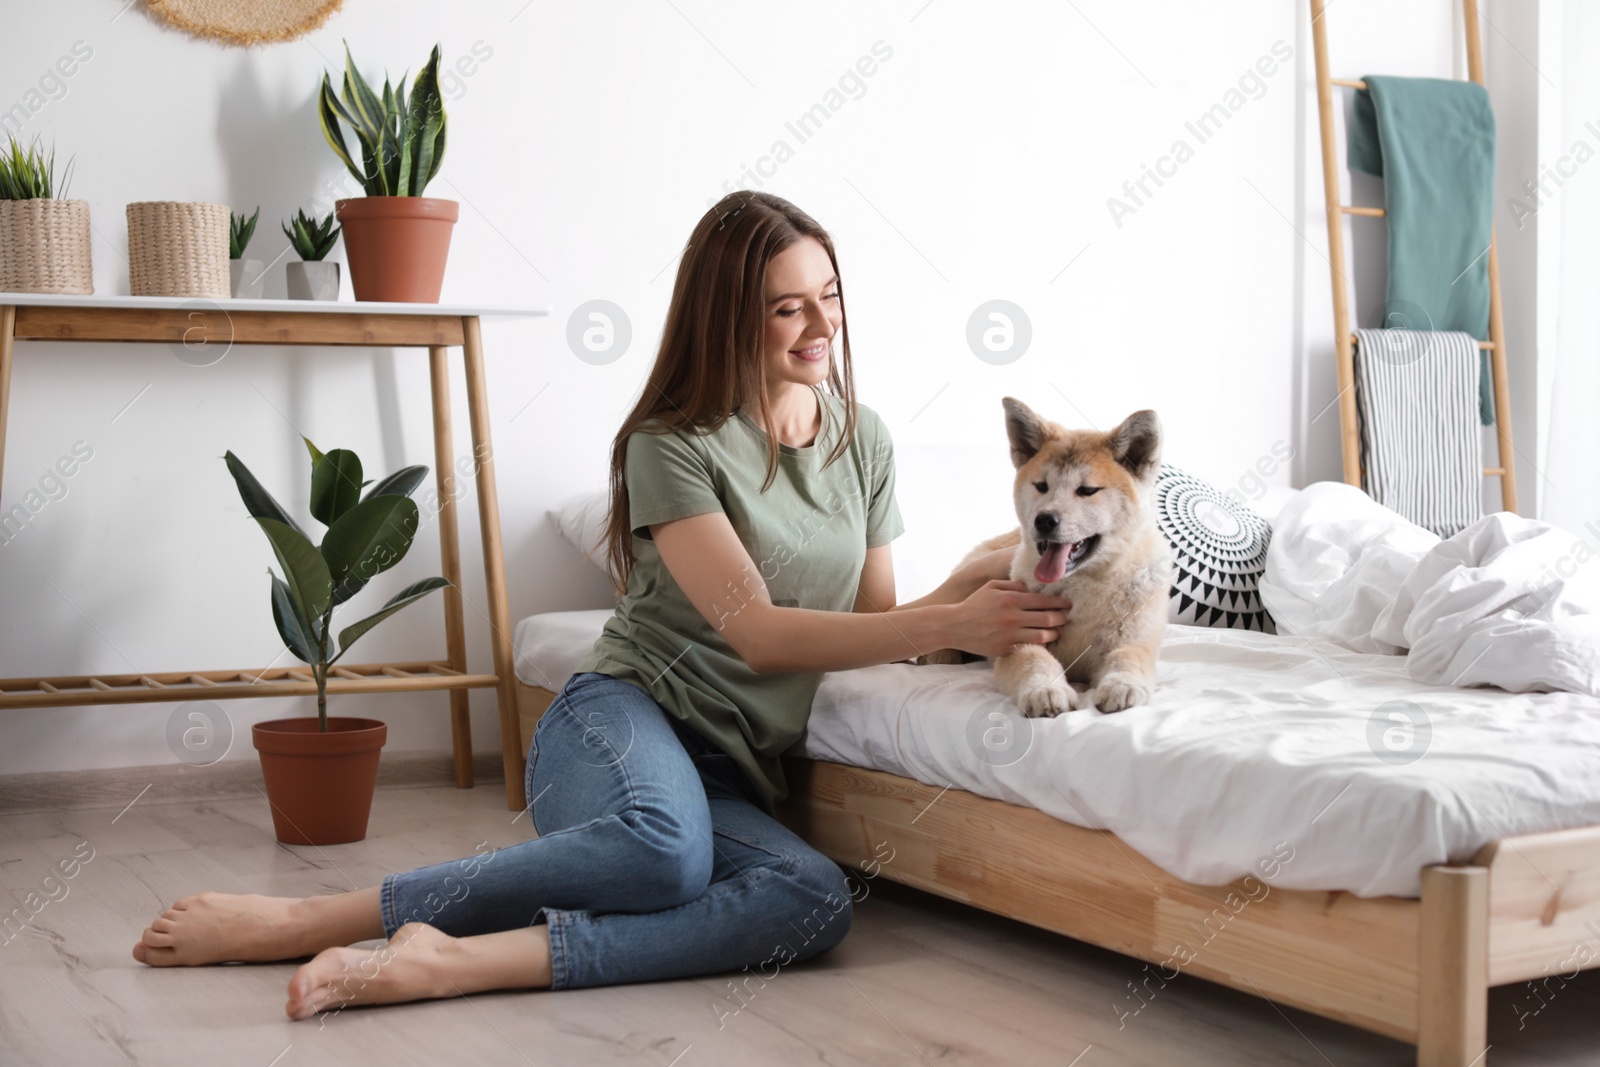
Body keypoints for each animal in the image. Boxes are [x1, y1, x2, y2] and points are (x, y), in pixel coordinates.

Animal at [934, 399, 1171, 716]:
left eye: (1087, 490)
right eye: (1041, 486)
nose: (1044, 520)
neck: (1085, 586)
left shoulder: (1134, 640)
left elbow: (1128, 656)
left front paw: (1123, 685)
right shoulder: (1017, 638)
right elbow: (1034, 659)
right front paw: (1045, 690)